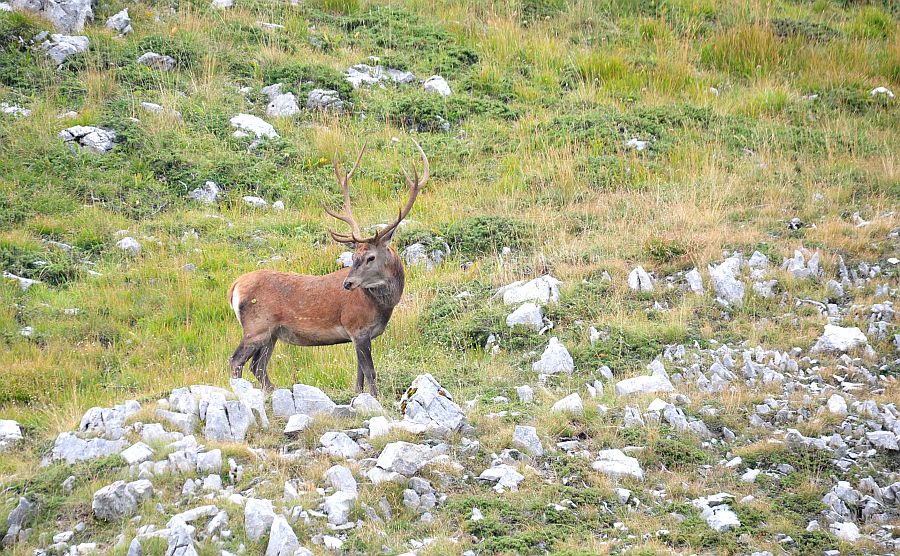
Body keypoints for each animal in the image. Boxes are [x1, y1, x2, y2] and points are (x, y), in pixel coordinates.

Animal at [230, 141, 430, 398]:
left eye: (370, 257)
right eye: (354, 256)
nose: (348, 283)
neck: (382, 306)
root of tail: (235, 286)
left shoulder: (360, 335)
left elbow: (359, 374)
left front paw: (358, 396)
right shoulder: (357, 327)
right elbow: (370, 372)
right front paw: (376, 399)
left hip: (272, 333)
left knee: (258, 366)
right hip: (257, 326)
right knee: (237, 360)